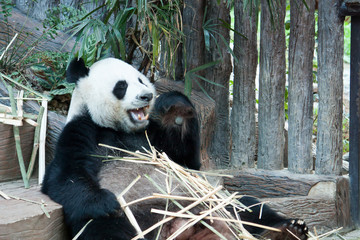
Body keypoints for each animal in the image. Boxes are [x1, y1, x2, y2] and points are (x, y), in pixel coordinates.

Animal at [41, 58, 306, 240]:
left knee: (250, 209)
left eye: (141, 80)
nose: (146, 96)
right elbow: (65, 177)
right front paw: (107, 201)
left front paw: (175, 107)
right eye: (121, 86)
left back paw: (287, 230)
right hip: (137, 217)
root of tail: (180, 227)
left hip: (217, 202)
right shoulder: (83, 131)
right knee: (106, 230)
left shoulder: (153, 139)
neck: (120, 128)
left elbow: (187, 161)